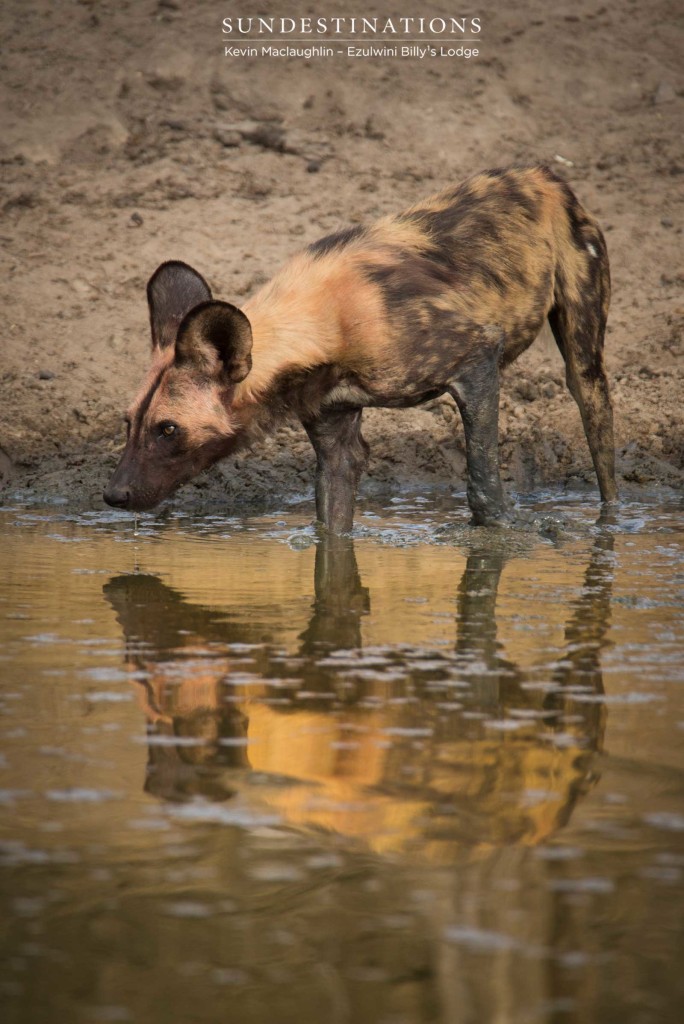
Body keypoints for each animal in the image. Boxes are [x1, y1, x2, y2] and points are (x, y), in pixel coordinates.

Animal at [104, 163, 618, 532]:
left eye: (168, 430)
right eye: (129, 423)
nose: (113, 496)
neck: (326, 323)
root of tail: (540, 175)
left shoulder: (476, 363)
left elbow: (483, 485)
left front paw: (505, 531)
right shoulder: (334, 435)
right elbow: (332, 535)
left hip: (583, 361)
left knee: (600, 441)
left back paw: (610, 523)